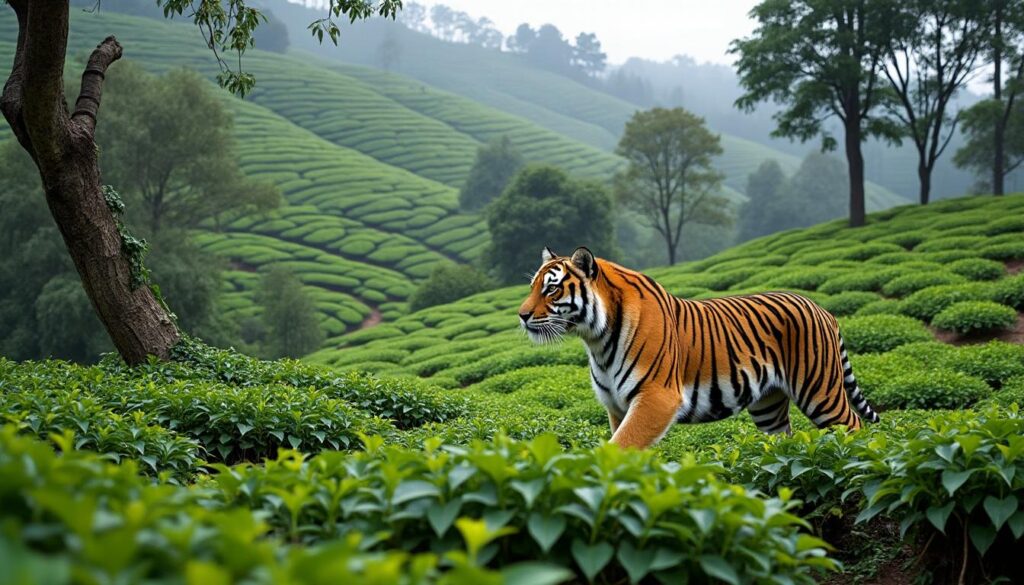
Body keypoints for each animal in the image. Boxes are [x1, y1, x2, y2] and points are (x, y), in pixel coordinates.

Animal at [517, 246, 879, 449]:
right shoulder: (617, 407)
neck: (596, 339)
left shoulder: (656, 398)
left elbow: (620, 445)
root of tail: (823, 309)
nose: (521, 315)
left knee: (854, 427)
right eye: (533, 286)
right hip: (768, 406)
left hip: (820, 392)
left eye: (551, 289)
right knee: (783, 442)